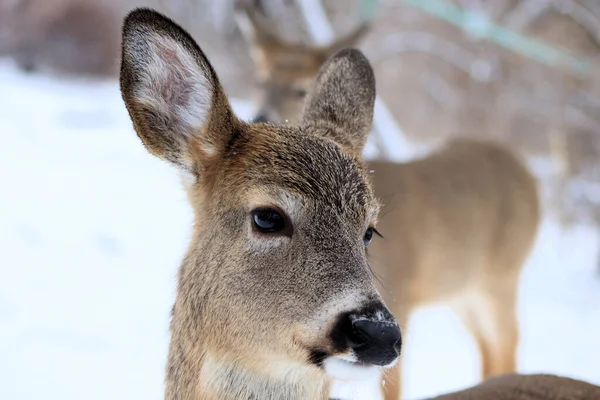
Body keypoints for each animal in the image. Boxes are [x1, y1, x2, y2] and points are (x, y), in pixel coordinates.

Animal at [236, 3, 544, 400]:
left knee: (508, 340)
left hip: (503, 273)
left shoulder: (398, 299)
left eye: (302, 88)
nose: (261, 118)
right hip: (462, 288)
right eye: (261, 79)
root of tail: (528, 174)